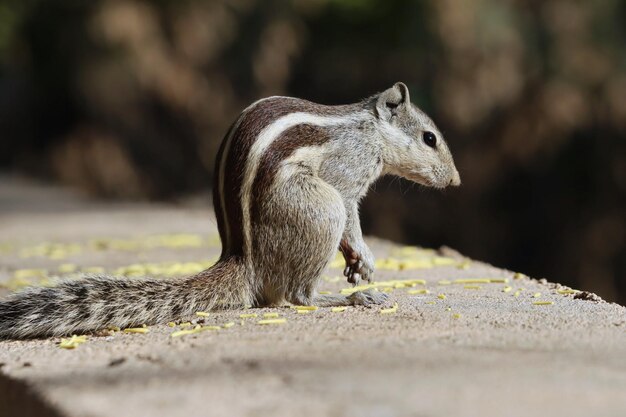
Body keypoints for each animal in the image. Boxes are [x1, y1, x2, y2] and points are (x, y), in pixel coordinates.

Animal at [0, 82, 458, 338]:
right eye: (429, 138)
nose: (455, 182)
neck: (369, 129)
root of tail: (242, 259)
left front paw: (356, 265)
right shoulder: (346, 178)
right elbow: (351, 214)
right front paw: (365, 259)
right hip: (318, 209)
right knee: (294, 296)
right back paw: (349, 298)